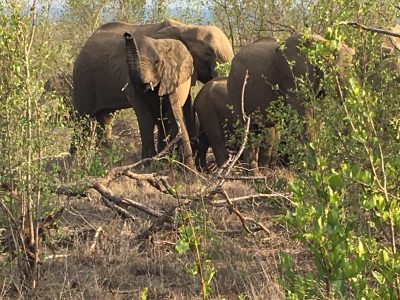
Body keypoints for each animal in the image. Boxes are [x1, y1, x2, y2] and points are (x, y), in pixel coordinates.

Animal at [71, 18, 234, 159]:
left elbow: (182, 107)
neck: (186, 28)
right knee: (82, 120)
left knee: (105, 118)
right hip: (83, 81)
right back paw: (74, 162)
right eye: (209, 53)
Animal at [196, 34, 354, 172]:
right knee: (240, 131)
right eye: (328, 66)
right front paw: (314, 171)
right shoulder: (291, 76)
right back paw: (254, 176)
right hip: (234, 92)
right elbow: (302, 118)